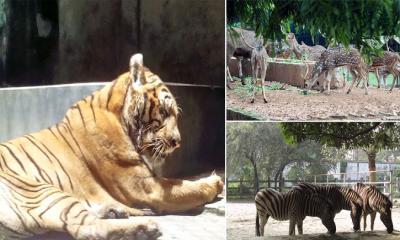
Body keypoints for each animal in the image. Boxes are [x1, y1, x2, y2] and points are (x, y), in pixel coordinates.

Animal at [0, 53, 225, 239]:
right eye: (163, 111)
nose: (177, 142)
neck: (118, 115)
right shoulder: (147, 187)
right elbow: (190, 187)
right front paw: (215, 182)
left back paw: (113, 211)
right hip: (38, 190)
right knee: (86, 229)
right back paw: (144, 228)